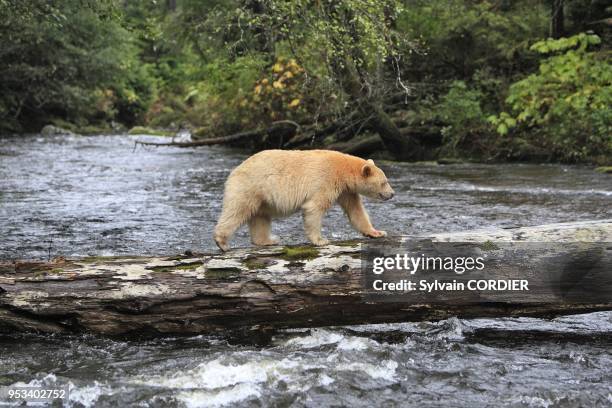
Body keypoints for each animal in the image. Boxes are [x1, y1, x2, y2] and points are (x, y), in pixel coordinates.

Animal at [215, 150, 394, 252]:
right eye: (384, 182)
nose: (392, 194)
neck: (343, 170)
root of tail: (234, 171)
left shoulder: (346, 191)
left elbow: (356, 211)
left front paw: (377, 232)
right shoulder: (326, 180)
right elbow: (314, 207)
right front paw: (321, 240)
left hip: (261, 198)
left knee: (260, 217)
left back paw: (267, 241)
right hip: (250, 187)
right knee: (237, 211)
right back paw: (222, 242)